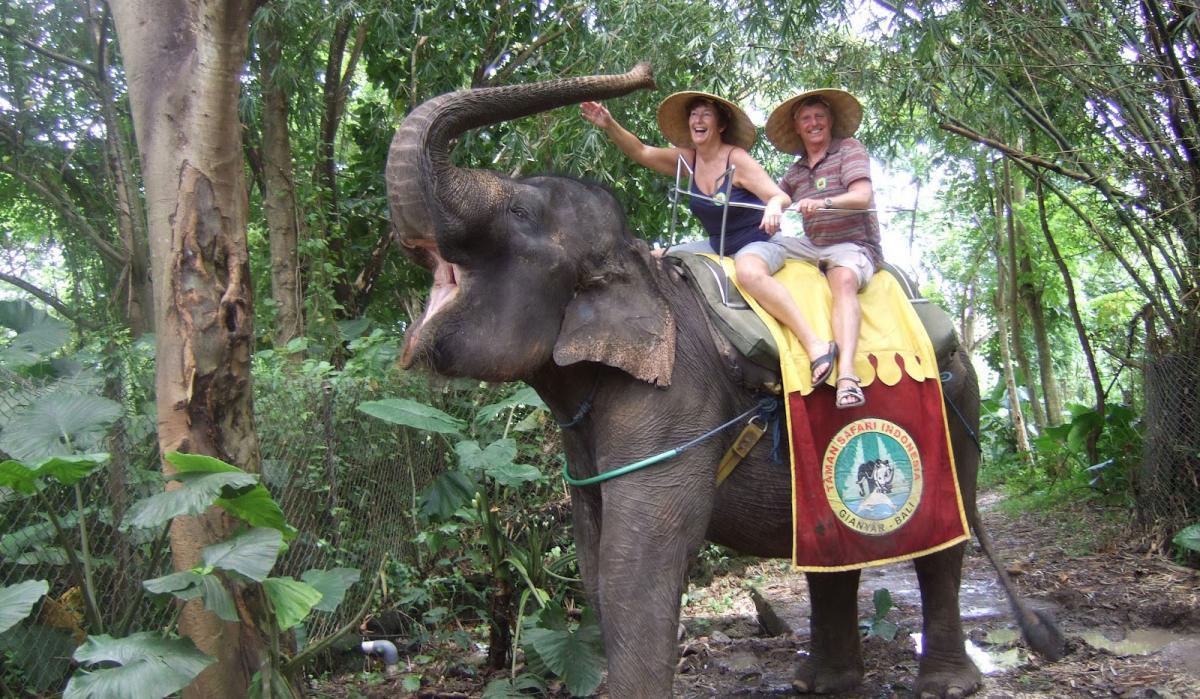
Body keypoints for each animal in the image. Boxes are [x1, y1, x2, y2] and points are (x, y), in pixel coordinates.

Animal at [385, 64, 1064, 697]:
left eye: (519, 213)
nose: (644, 72)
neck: (641, 270)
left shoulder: (676, 401)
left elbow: (639, 557)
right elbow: (591, 552)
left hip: (958, 415)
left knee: (942, 547)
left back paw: (941, 684)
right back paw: (822, 681)